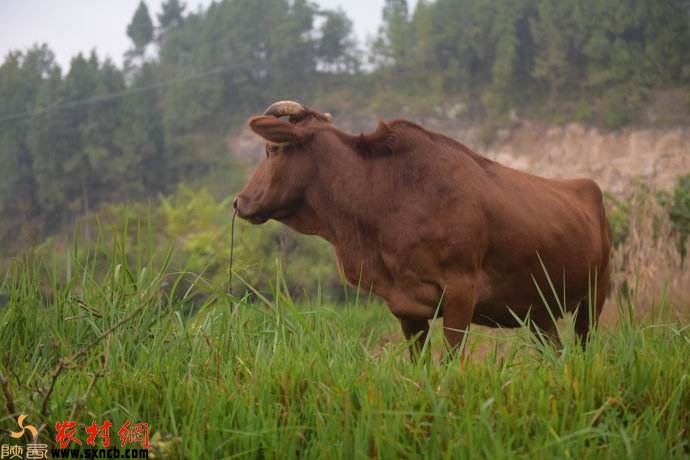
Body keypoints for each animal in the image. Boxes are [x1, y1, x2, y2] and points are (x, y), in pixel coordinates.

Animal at [234, 101, 612, 356]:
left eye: (272, 149)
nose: (240, 201)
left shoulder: (461, 291)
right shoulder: (406, 306)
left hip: (594, 298)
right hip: (539, 312)